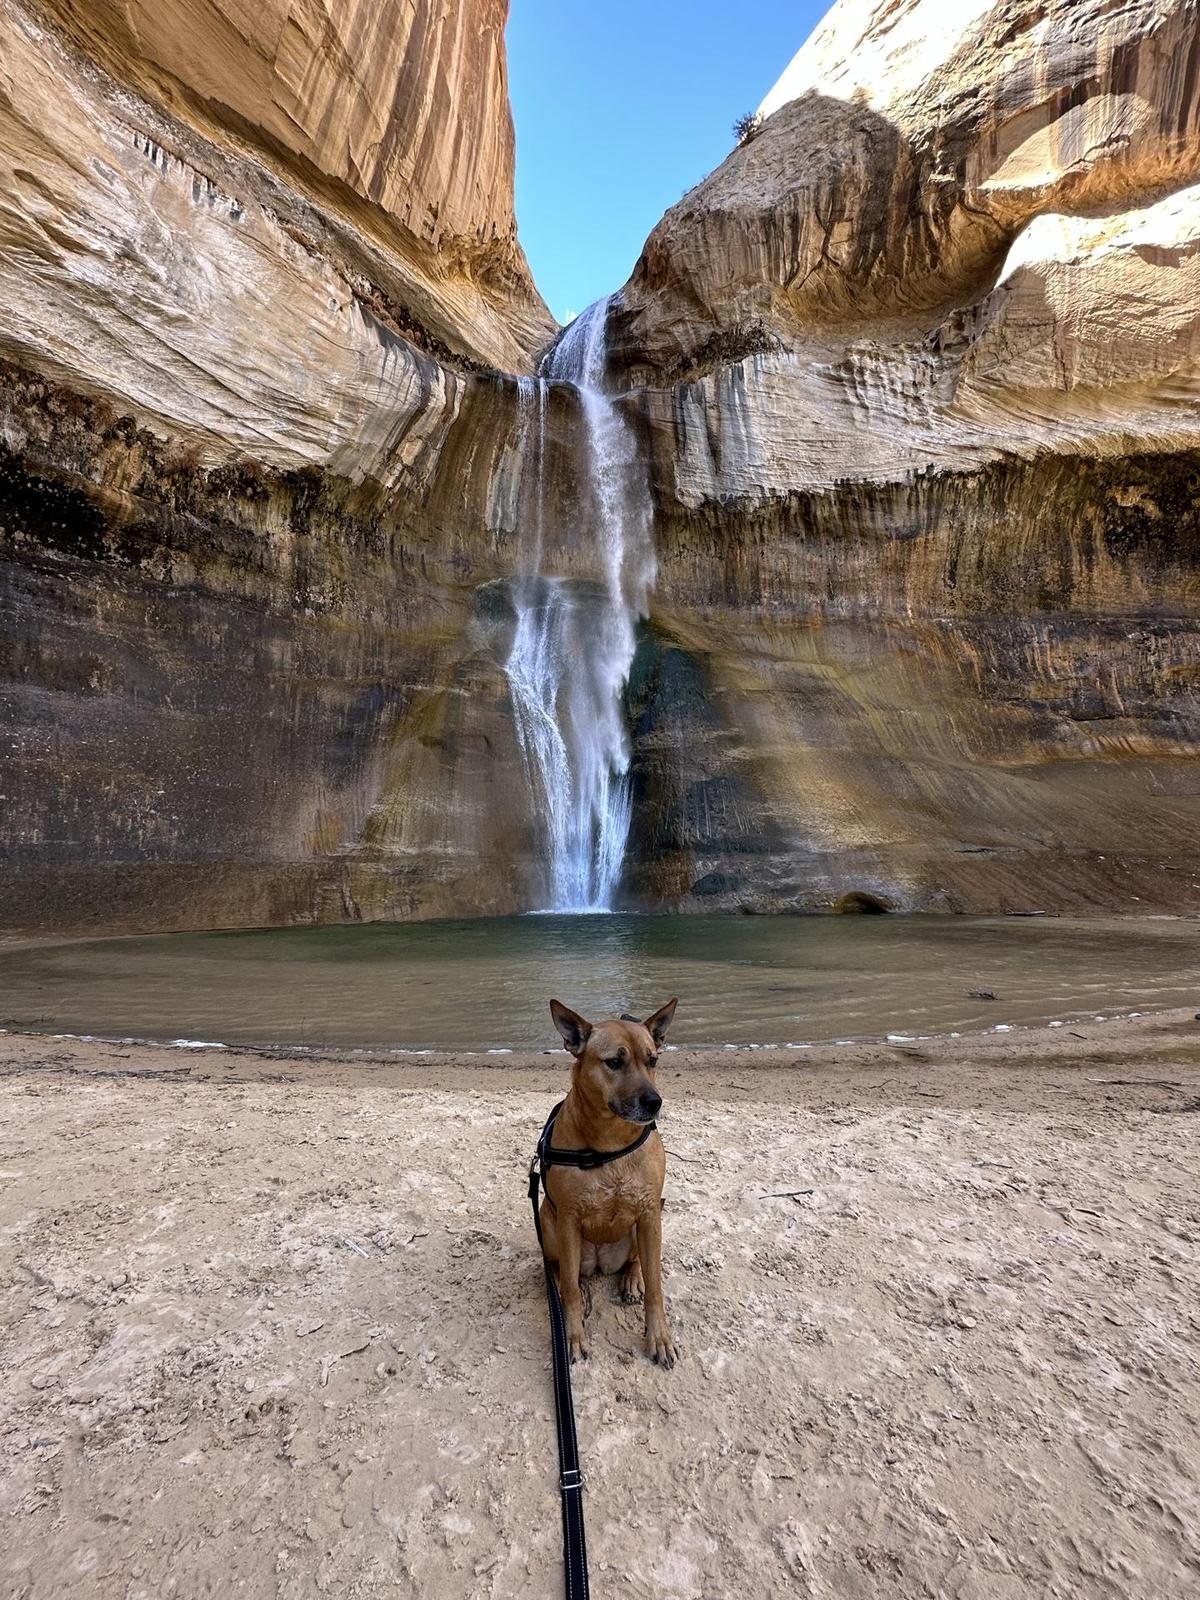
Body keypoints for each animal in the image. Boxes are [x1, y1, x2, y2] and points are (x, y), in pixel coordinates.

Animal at [544, 998, 681, 1363]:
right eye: (615, 1062)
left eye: (653, 1060)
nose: (654, 1102)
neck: (611, 1141)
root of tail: (600, 1263)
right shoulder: (567, 1219)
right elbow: (570, 1292)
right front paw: (573, 1335)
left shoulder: (649, 1214)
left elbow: (656, 1287)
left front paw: (659, 1336)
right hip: (549, 1225)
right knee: (563, 1273)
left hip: (639, 1231)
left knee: (635, 1262)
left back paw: (632, 1279)